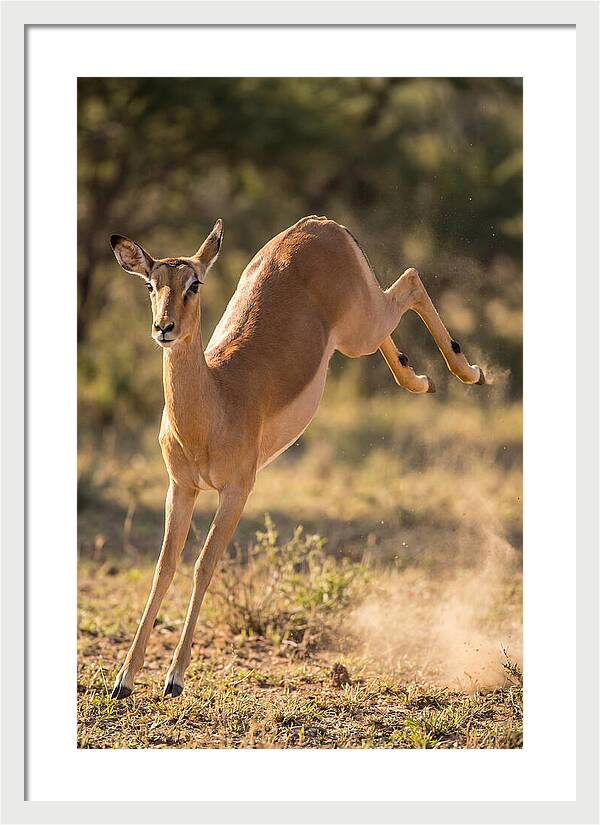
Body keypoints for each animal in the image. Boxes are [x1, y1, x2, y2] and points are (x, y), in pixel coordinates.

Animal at [109, 215, 485, 699]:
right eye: (151, 284)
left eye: (194, 283)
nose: (164, 328)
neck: (215, 401)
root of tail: (320, 223)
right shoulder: (181, 487)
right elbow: (163, 568)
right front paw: (124, 678)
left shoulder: (237, 491)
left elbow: (203, 565)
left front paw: (174, 678)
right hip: (357, 330)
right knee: (399, 306)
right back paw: (420, 379)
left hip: (360, 327)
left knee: (412, 279)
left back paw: (469, 372)